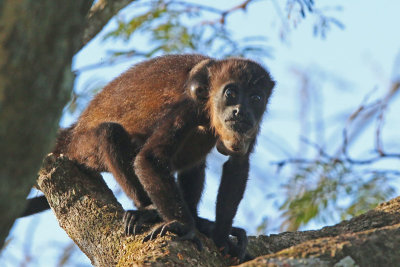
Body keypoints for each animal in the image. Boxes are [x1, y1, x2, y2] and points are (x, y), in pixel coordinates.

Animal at [22, 54, 276, 262]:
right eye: (231, 93)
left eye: (256, 98)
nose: (240, 111)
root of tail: (72, 131)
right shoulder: (191, 104)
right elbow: (150, 157)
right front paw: (184, 227)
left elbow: (238, 164)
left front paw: (221, 239)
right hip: (82, 148)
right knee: (108, 133)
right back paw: (147, 210)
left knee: (195, 160)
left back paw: (199, 221)